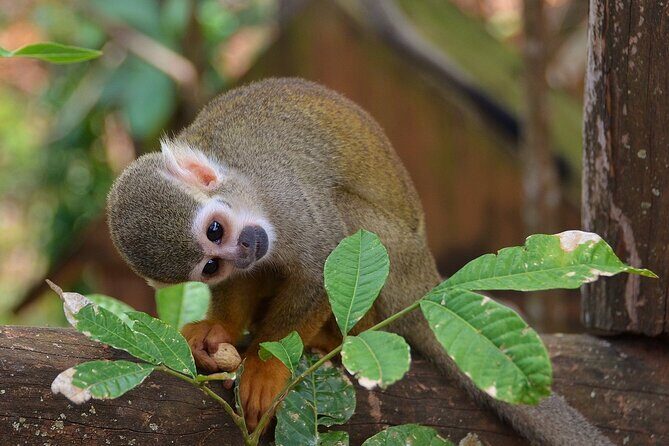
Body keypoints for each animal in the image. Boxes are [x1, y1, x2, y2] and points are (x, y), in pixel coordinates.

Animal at [107, 78, 612, 445]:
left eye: (216, 230)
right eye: (211, 265)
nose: (244, 249)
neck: (246, 187)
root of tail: (426, 281)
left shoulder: (288, 197)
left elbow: (321, 262)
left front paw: (267, 364)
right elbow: (251, 279)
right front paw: (220, 331)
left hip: (397, 263)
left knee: (347, 218)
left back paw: (338, 336)